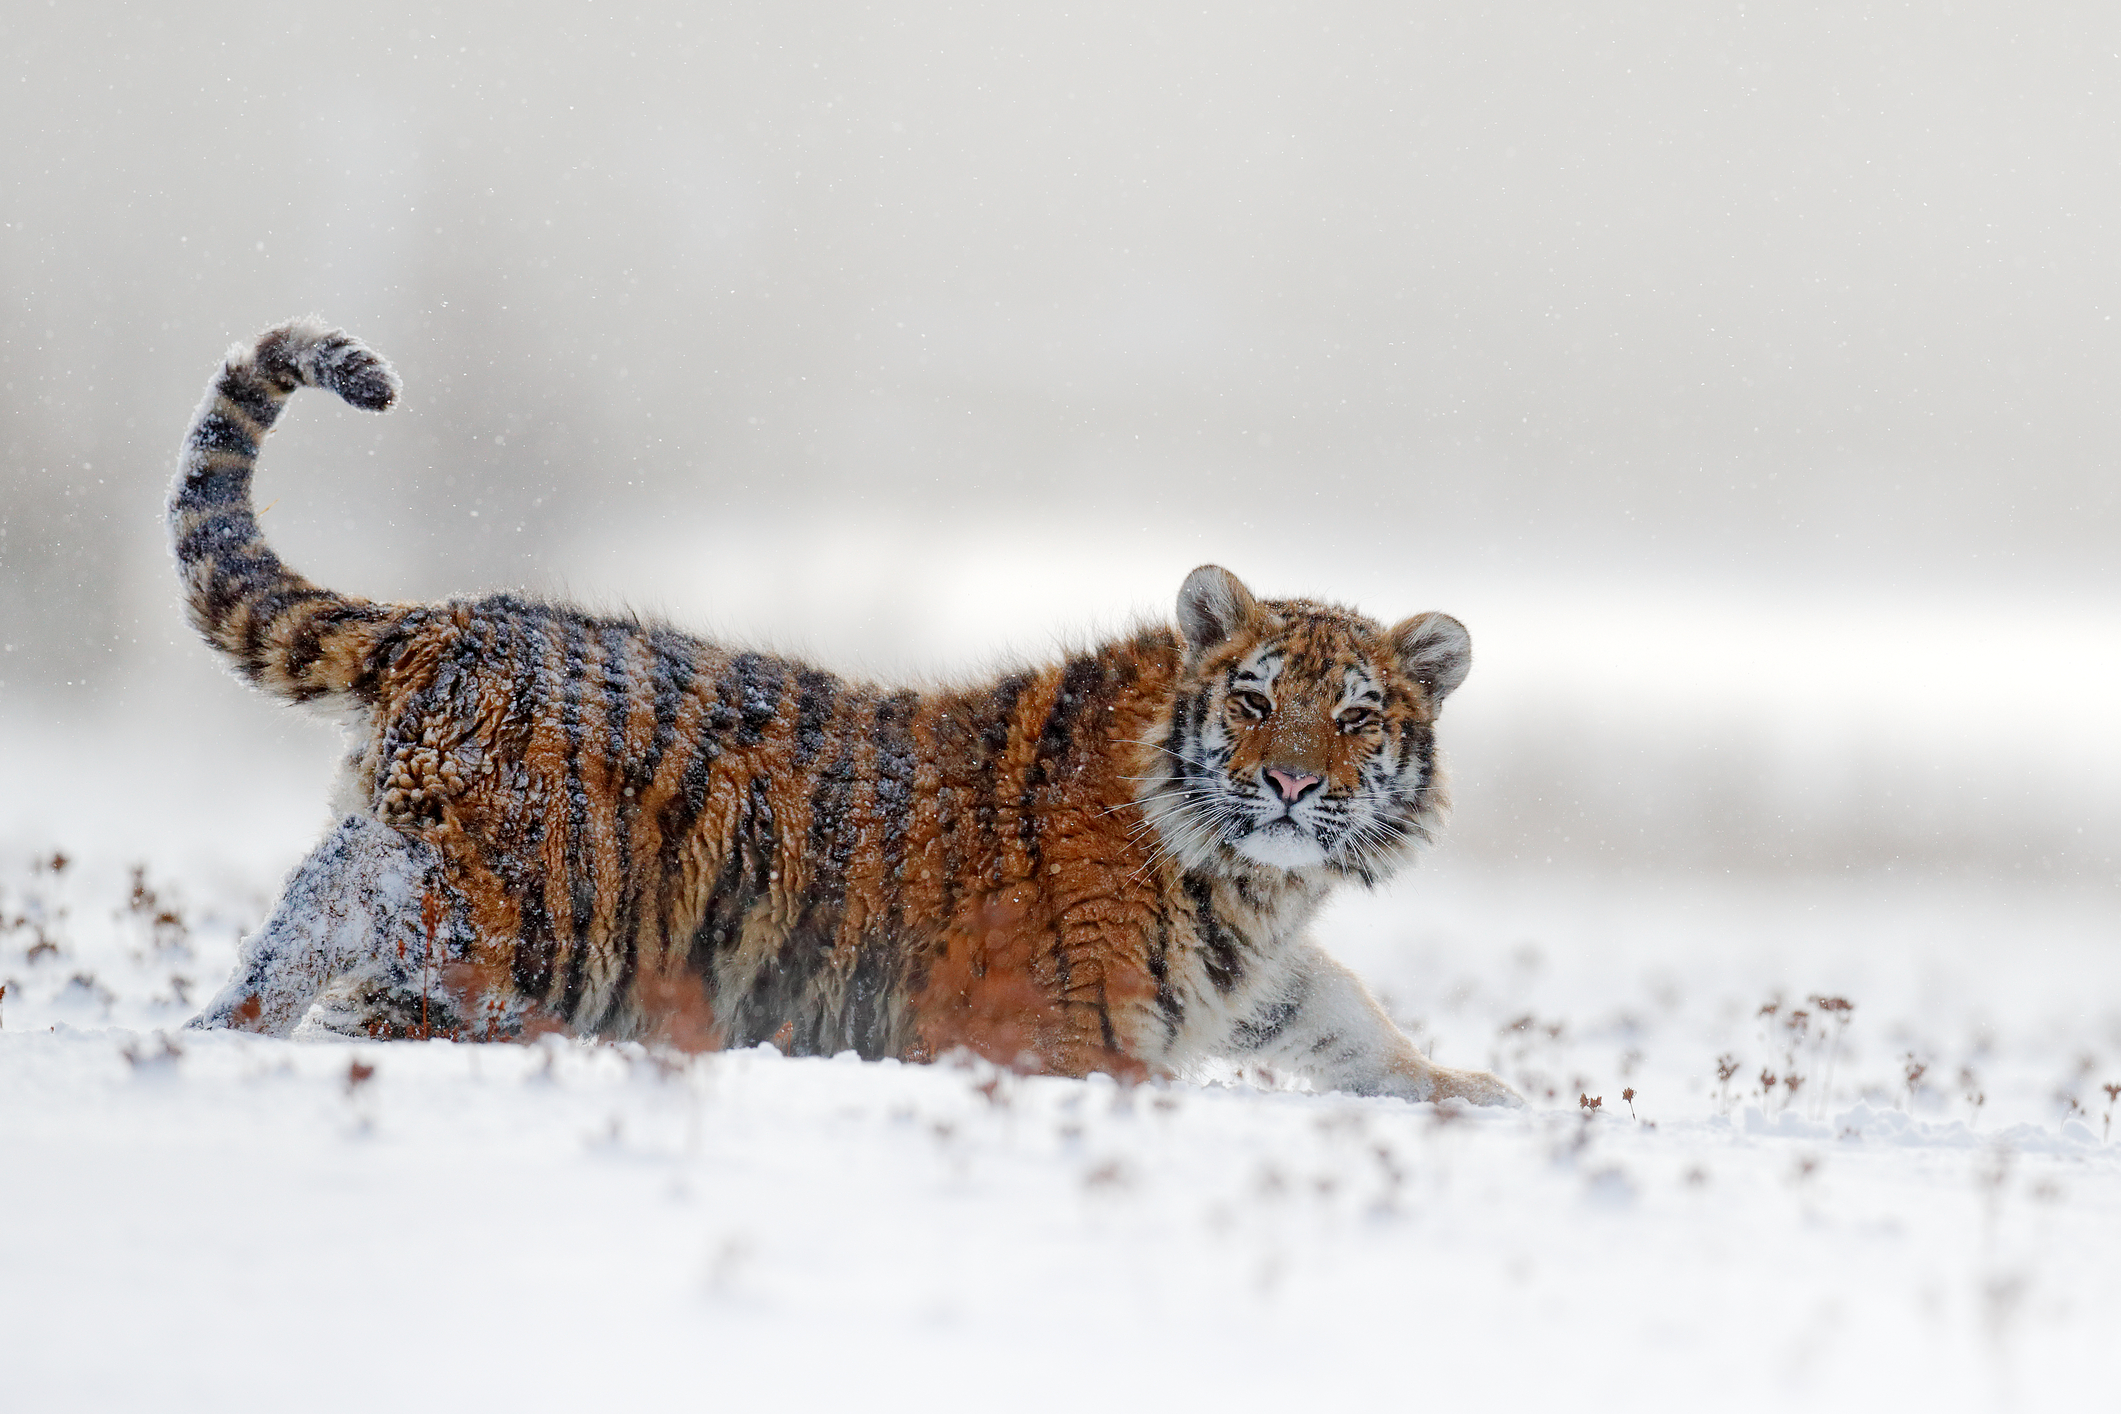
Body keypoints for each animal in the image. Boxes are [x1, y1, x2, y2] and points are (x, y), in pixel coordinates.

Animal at [170, 318, 1522, 1107]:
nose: (1292, 784)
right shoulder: (1063, 1032)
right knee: (381, 939)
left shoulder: (1267, 972)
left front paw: (1474, 1088)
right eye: (1253, 699)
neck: (1253, 880)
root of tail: (451, 619)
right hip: (532, 901)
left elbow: (1350, 1021)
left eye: (1355, 718)